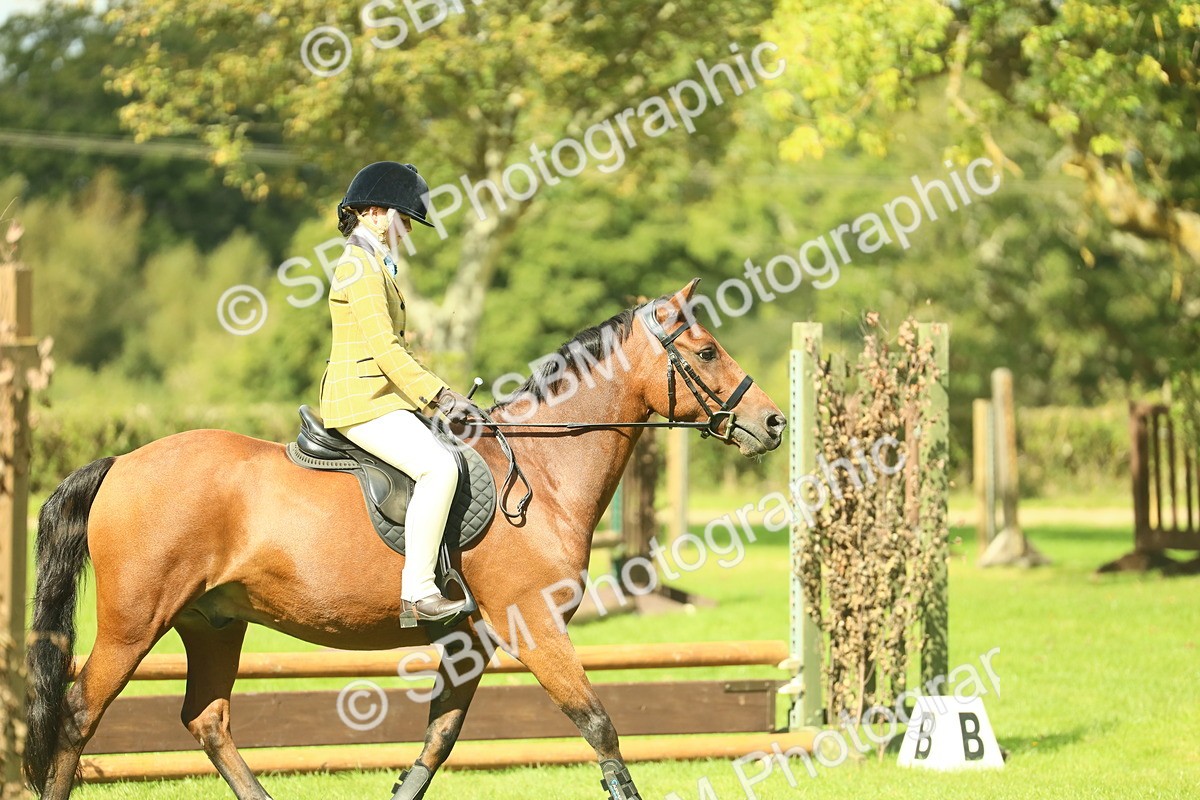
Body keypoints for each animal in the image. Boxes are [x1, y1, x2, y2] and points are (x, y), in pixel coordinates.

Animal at [24, 280, 787, 800]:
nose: (774, 422)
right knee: (79, 713)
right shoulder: (537, 627)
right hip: (134, 623)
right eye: (707, 351)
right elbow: (597, 723)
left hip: (212, 622)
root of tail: (121, 462)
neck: (542, 471)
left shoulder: (472, 639)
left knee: (207, 719)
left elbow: (440, 739)